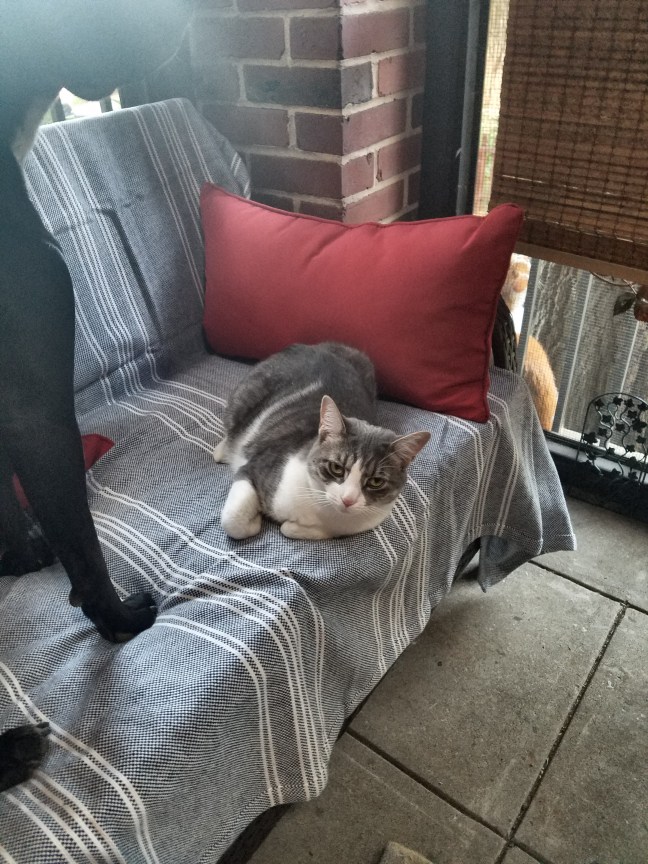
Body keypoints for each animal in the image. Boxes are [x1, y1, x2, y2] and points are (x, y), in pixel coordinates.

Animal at [213, 343, 431, 541]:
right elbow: (233, 521)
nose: (348, 500)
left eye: (376, 481)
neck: (323, 510)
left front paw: (291, 527)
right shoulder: (255, 467)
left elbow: (295, 530)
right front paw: (256, 519)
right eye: (336, 468)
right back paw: (222, 450)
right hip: (243, 399)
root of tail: (316, 347)